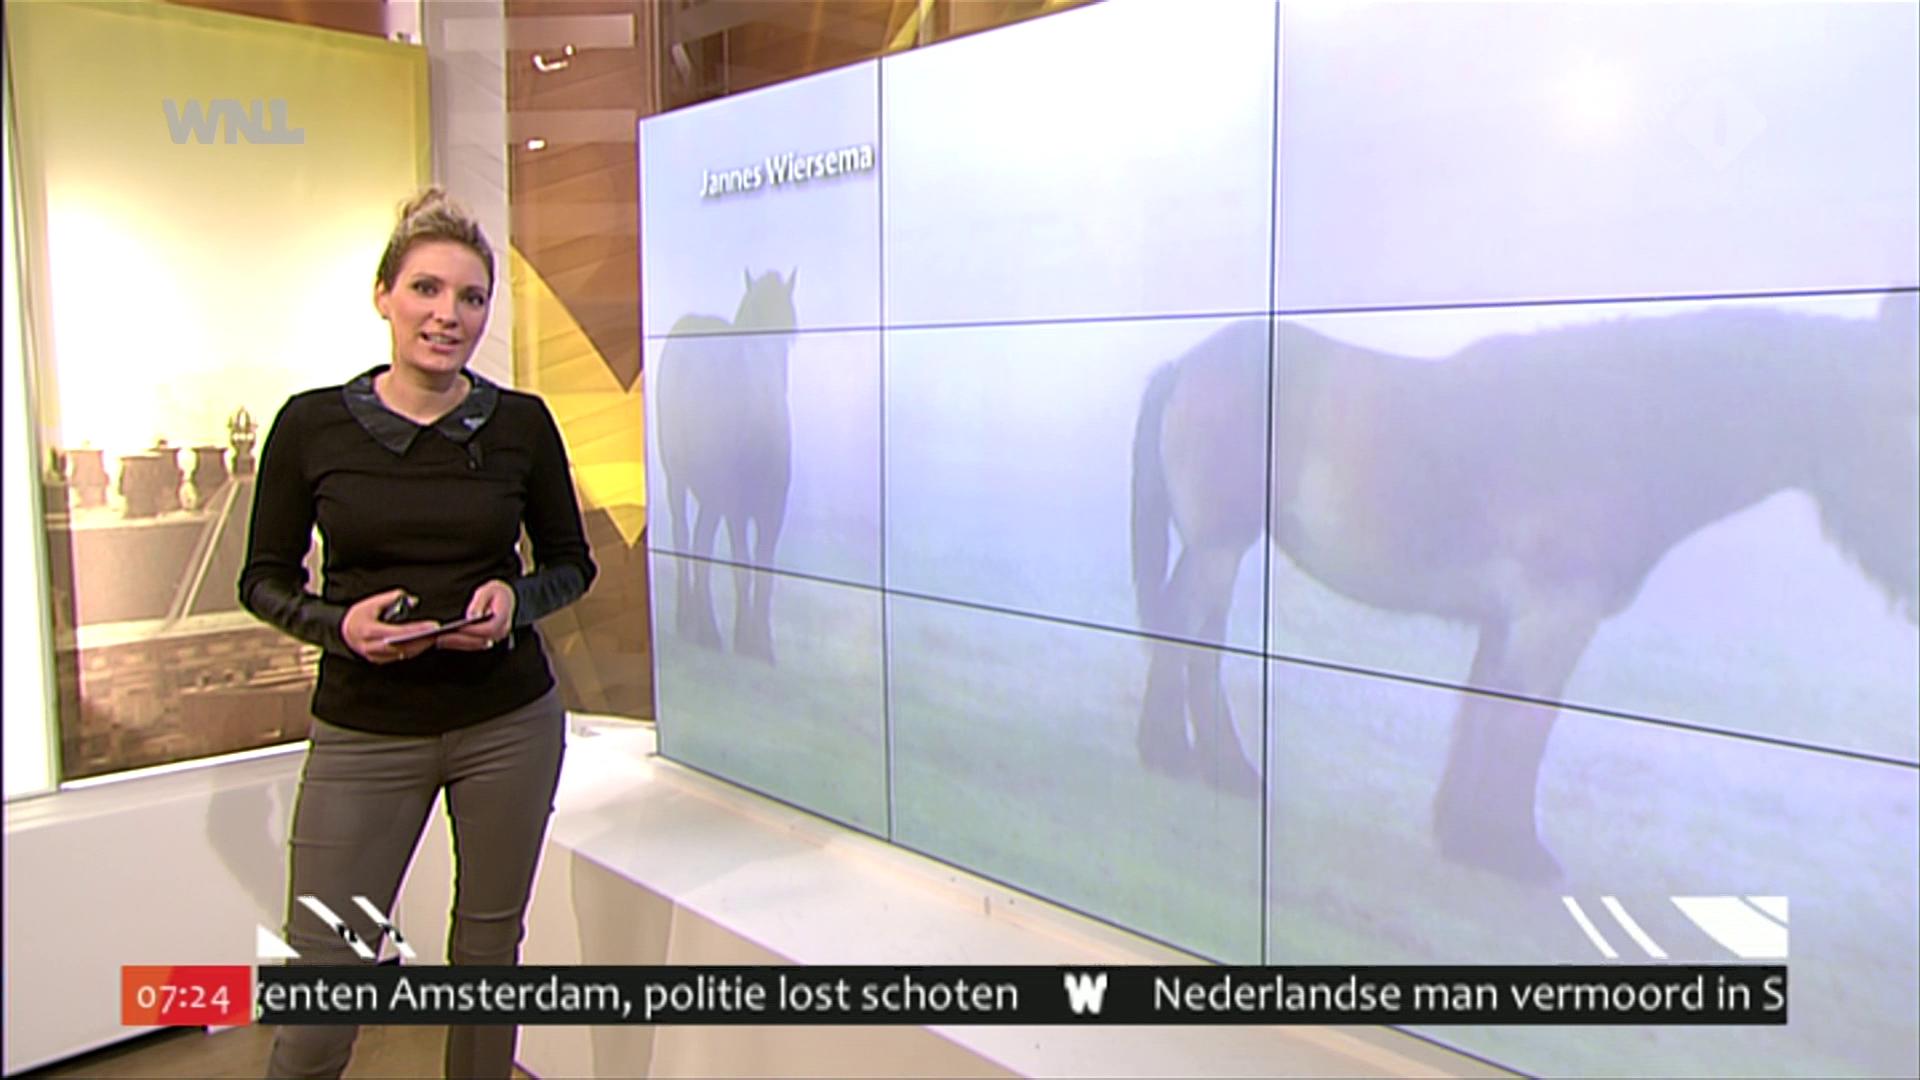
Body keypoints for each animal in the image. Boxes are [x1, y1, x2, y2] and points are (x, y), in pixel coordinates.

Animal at [655, 268, 799, 663]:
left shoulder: (738, 506)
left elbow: (741, 563)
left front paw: (745, 634)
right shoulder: (769, 504)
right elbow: (761, 566)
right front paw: (759, 641)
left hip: (677, 475)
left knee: (682, 533)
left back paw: (687, 618)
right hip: (716, 484)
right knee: (702, 541)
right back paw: (707, 630)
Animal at [1131, 292, 1919, 882]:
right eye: (1898, 425)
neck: (1624, 431)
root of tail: (1187, 363)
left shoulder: (1507, 622)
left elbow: (1486, 714)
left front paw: (1463, 832)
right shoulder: (1555, 618)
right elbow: (1526, 726)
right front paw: (1511, 850)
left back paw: (1214, 764)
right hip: (1219, 546)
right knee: (1186, 632)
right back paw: (1185, 758)